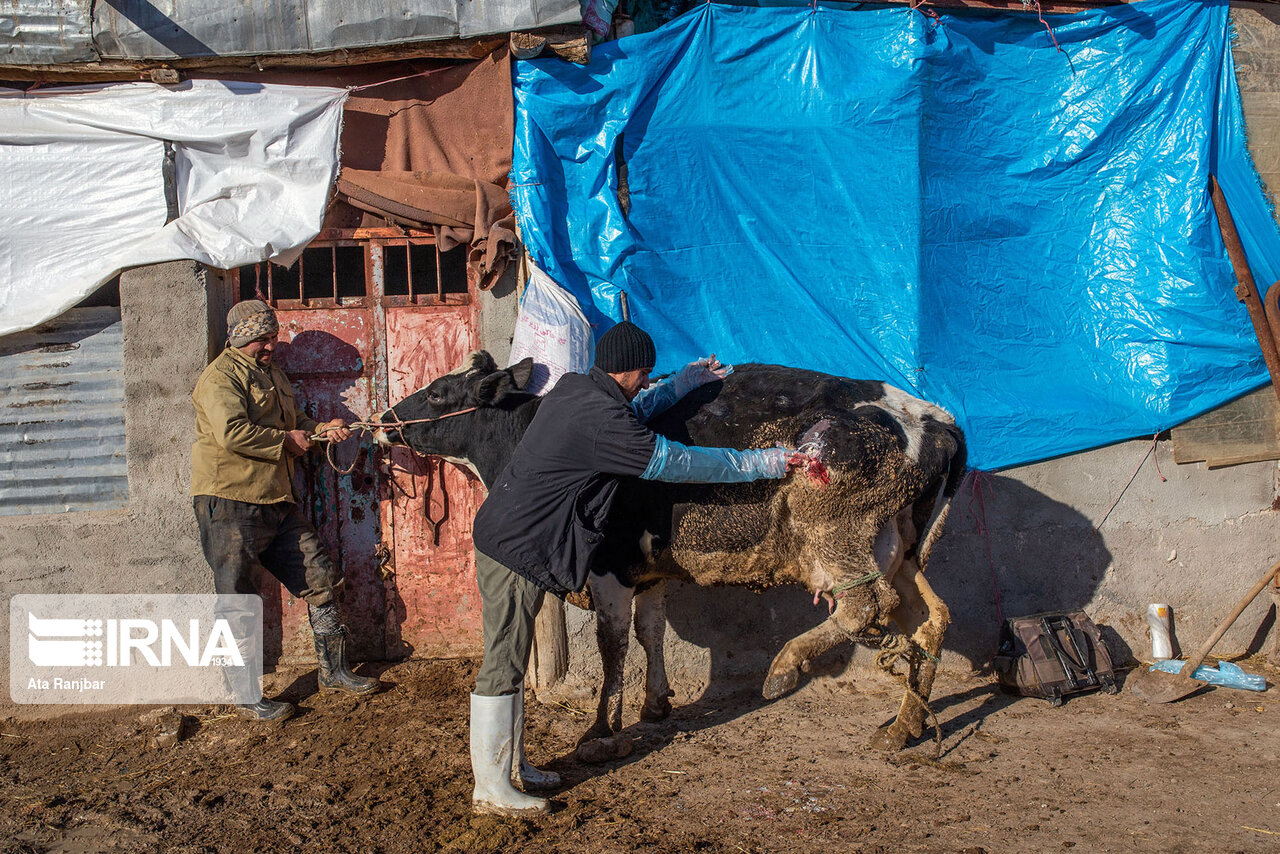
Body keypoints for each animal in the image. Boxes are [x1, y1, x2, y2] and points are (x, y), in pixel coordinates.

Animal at [373, 353, 962, 752]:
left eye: (440, 392)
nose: (382, 420)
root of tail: (934, 418)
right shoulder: (651, 570)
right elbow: (649, 631)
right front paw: (655, 703)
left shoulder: (609, 567)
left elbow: (614, 646)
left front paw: (601, 729)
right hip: (900, 548)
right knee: (931, 618)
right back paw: (903, 726)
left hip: (835, 535)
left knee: (865, 608)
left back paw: (785, 667)